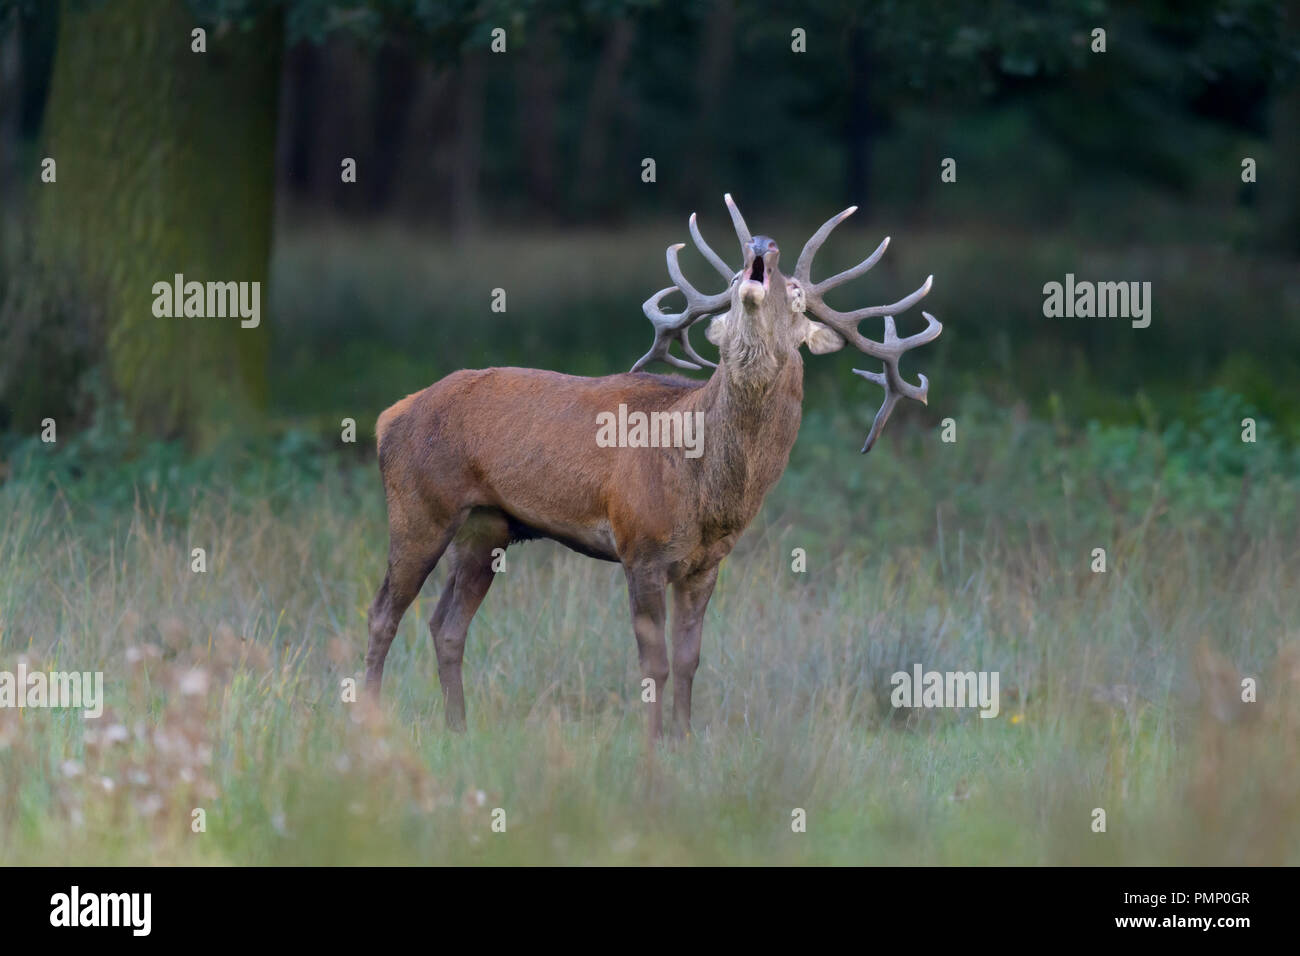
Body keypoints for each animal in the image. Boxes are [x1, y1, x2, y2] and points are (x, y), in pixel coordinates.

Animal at [365, 195, 942, 742]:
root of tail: (388, 416)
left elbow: (689, 661)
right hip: (419, 508)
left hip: (487, 528)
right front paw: (652, 746)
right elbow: (654, 664)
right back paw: (366, 716)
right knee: (383, 613)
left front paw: (684, 741)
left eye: (798, 295)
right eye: (733, 280)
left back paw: (457, 727)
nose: (761, 245)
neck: (704, 487)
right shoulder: (639, 546)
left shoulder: (707, 564)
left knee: (446, 625)